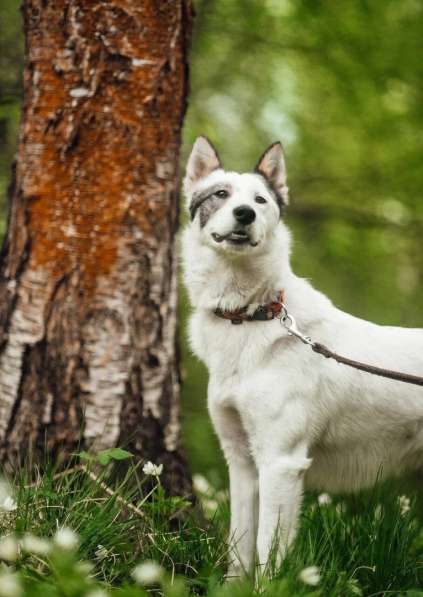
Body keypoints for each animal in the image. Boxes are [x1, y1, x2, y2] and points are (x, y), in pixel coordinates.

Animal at [181, 136, 423, 576]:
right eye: (221, 195)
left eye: (260, 200)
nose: (244, 214)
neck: (250, 314)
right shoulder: (242, 463)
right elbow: (239, 547)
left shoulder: (281, 463)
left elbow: (267, 555)